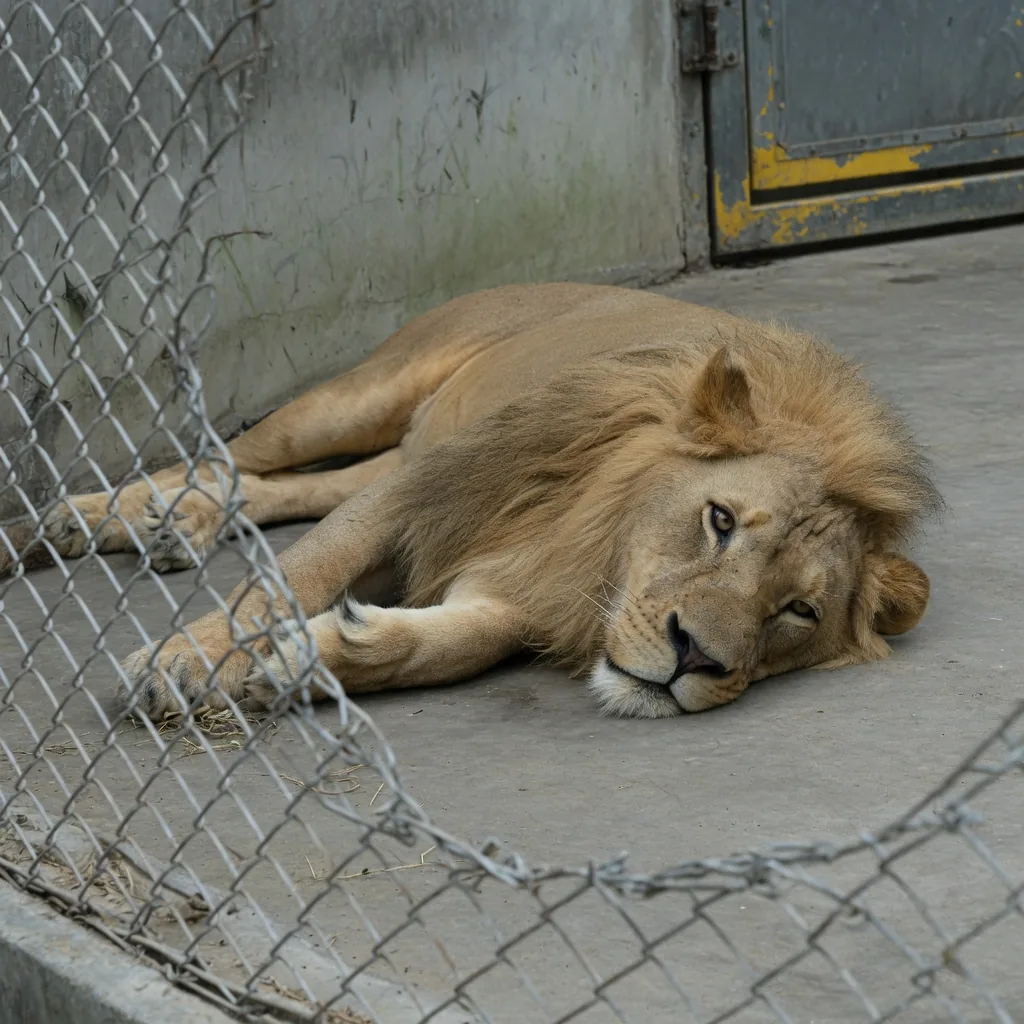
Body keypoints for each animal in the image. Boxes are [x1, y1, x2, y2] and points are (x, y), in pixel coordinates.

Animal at [8, 283, 939, 720]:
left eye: (797, 611)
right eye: (719, 521)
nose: (695, 660)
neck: (595, 547)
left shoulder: (518, 590)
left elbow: (454, 644)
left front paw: (318, 656)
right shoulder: (424, 495)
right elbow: (295, 574)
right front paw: (186, 662)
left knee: (274, 485)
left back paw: (173, 523)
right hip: (361, 398)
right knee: (228, 455)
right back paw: (83, 519)